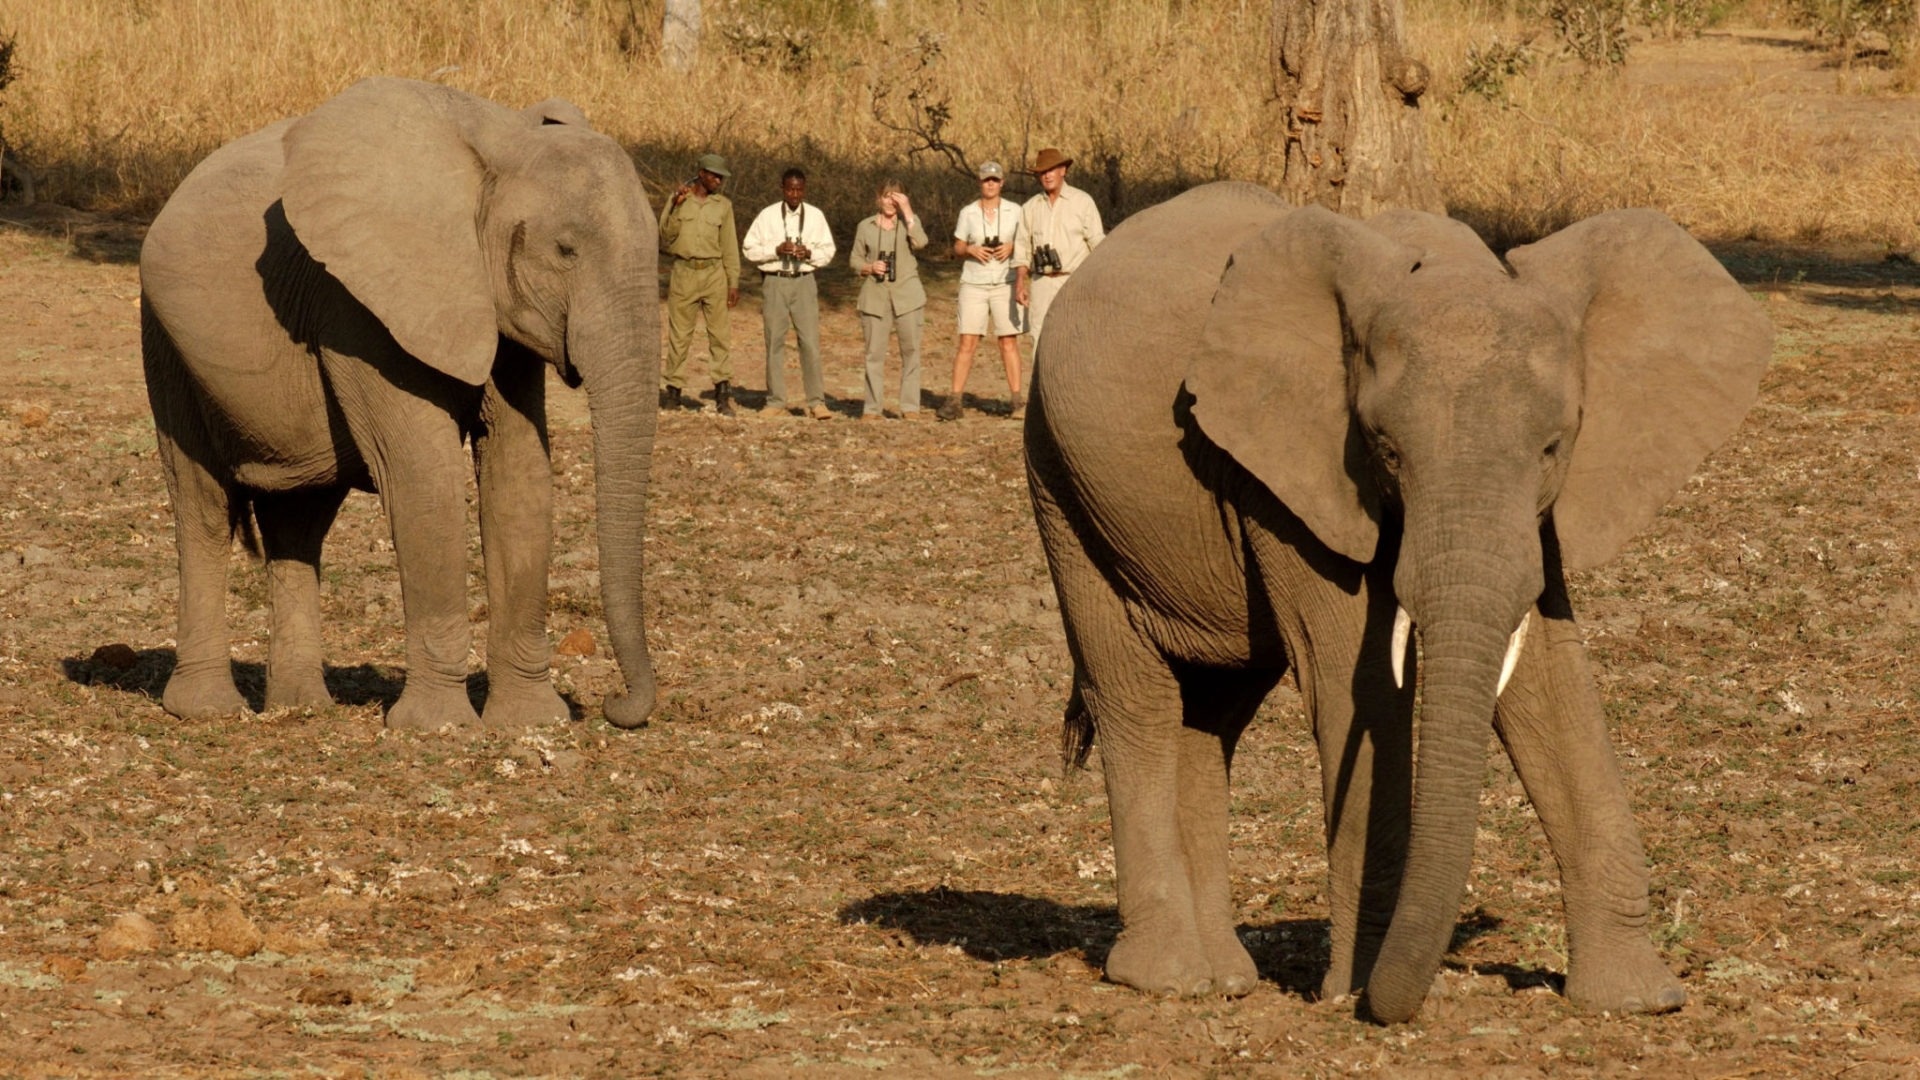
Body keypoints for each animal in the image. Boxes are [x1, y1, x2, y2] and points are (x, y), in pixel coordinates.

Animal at [139, 77, 664, 730]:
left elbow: (519, 474)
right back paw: (209, 711)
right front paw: (440, 727)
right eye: (565, 251)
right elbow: (423, 473)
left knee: (298, 522)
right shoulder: (358, 303)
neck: (498, 144)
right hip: (167, 344)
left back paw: (302, 706)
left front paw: (530, 722)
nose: (615, 705)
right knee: (204, 508)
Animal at [1029, 180, 1774, 1022]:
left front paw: (1637, 1000)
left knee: (1212, 713)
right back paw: (1171, 979)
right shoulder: (1290, 473)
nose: (1393, 997)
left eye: (1555, 446)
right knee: (1138, 699)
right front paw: (1358, 993)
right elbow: (1356, 675)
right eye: (1385, 450)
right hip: (1061, 480)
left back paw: (1226, 978)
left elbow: (1547, 673)